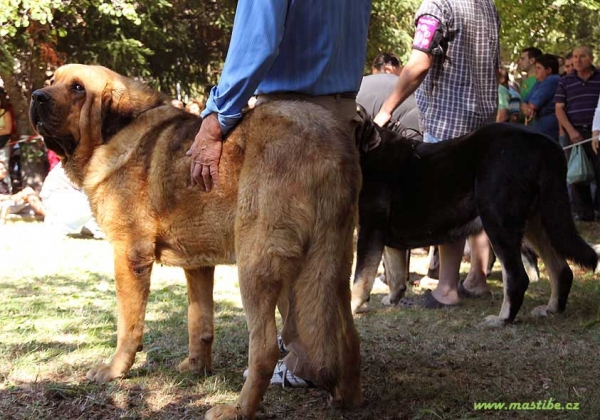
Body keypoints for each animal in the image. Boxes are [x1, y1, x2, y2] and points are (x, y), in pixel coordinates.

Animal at [29, 64, 360, 418]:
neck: (117, 131)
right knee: (346, 334)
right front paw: (196, 367)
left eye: (78, 88)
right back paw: (347, 397)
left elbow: (128, 325)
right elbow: (199, 322)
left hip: (255, 265)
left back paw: (237, 409)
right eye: (53, 81)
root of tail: (327, 143)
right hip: (332, 263)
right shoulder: (199, 264)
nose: (36, 96)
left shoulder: (129, 256)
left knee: (266, 348)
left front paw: (115, 369)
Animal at [352, 115, 596, 324]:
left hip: (497, 220)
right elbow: (395, 274)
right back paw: (551, 309)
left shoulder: (369, 230)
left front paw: (353, 308)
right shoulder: (385, 235)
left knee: (517, 277)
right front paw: (392, 299)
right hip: (536, 221)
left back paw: (502, 319)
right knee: (561, 270)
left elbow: (360, 279)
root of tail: (542, 142)